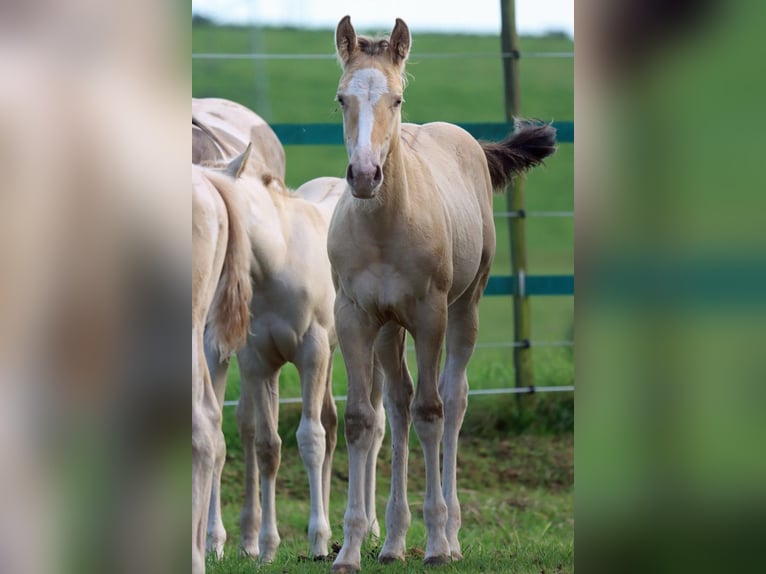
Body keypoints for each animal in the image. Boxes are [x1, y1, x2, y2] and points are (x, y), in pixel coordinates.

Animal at [330, 15, 560, 572]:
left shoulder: (429, 314)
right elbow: (361, 418)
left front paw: (435, 543)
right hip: (389, 328)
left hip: (464, 308)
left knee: (453, 400)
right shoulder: (354, 315)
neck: (384, 229)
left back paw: (451, 535)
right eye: (342, 99)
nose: (364, 175)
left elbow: (431, 412)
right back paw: (392, 542)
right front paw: (350, 550)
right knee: (396, 405)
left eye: (395, 100)